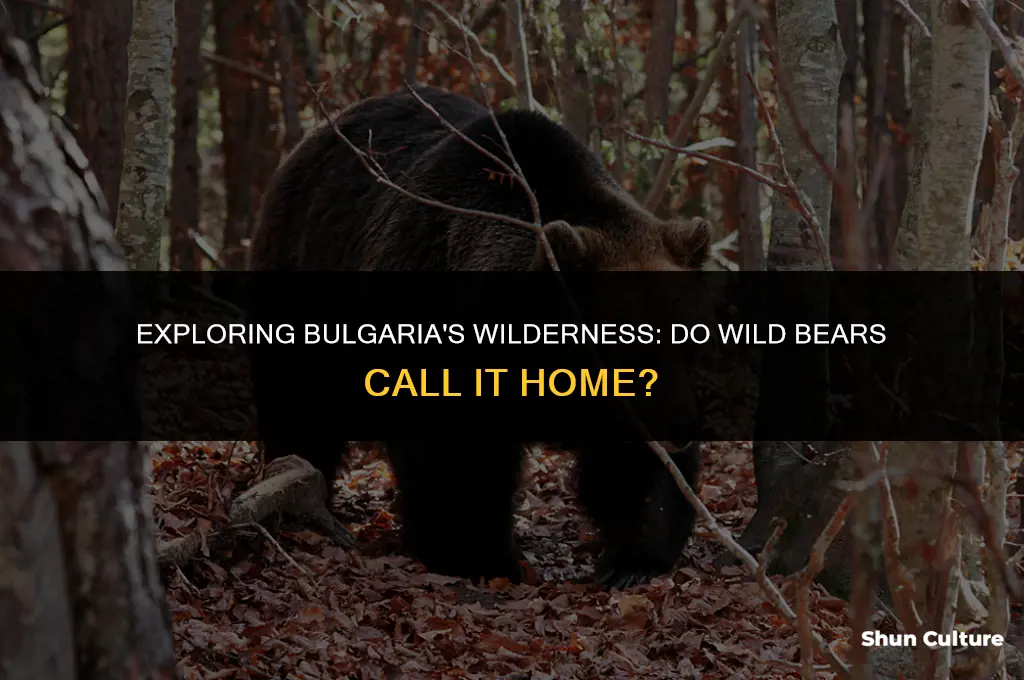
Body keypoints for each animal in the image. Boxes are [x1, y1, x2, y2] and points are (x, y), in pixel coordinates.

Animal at [247, 86, 710, 589]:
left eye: (687, 339)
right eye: (630, 347)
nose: (682, 428)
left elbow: (636, 472)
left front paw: (630, 560)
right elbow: (454, 458)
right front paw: (482, 557)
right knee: (301, 401)